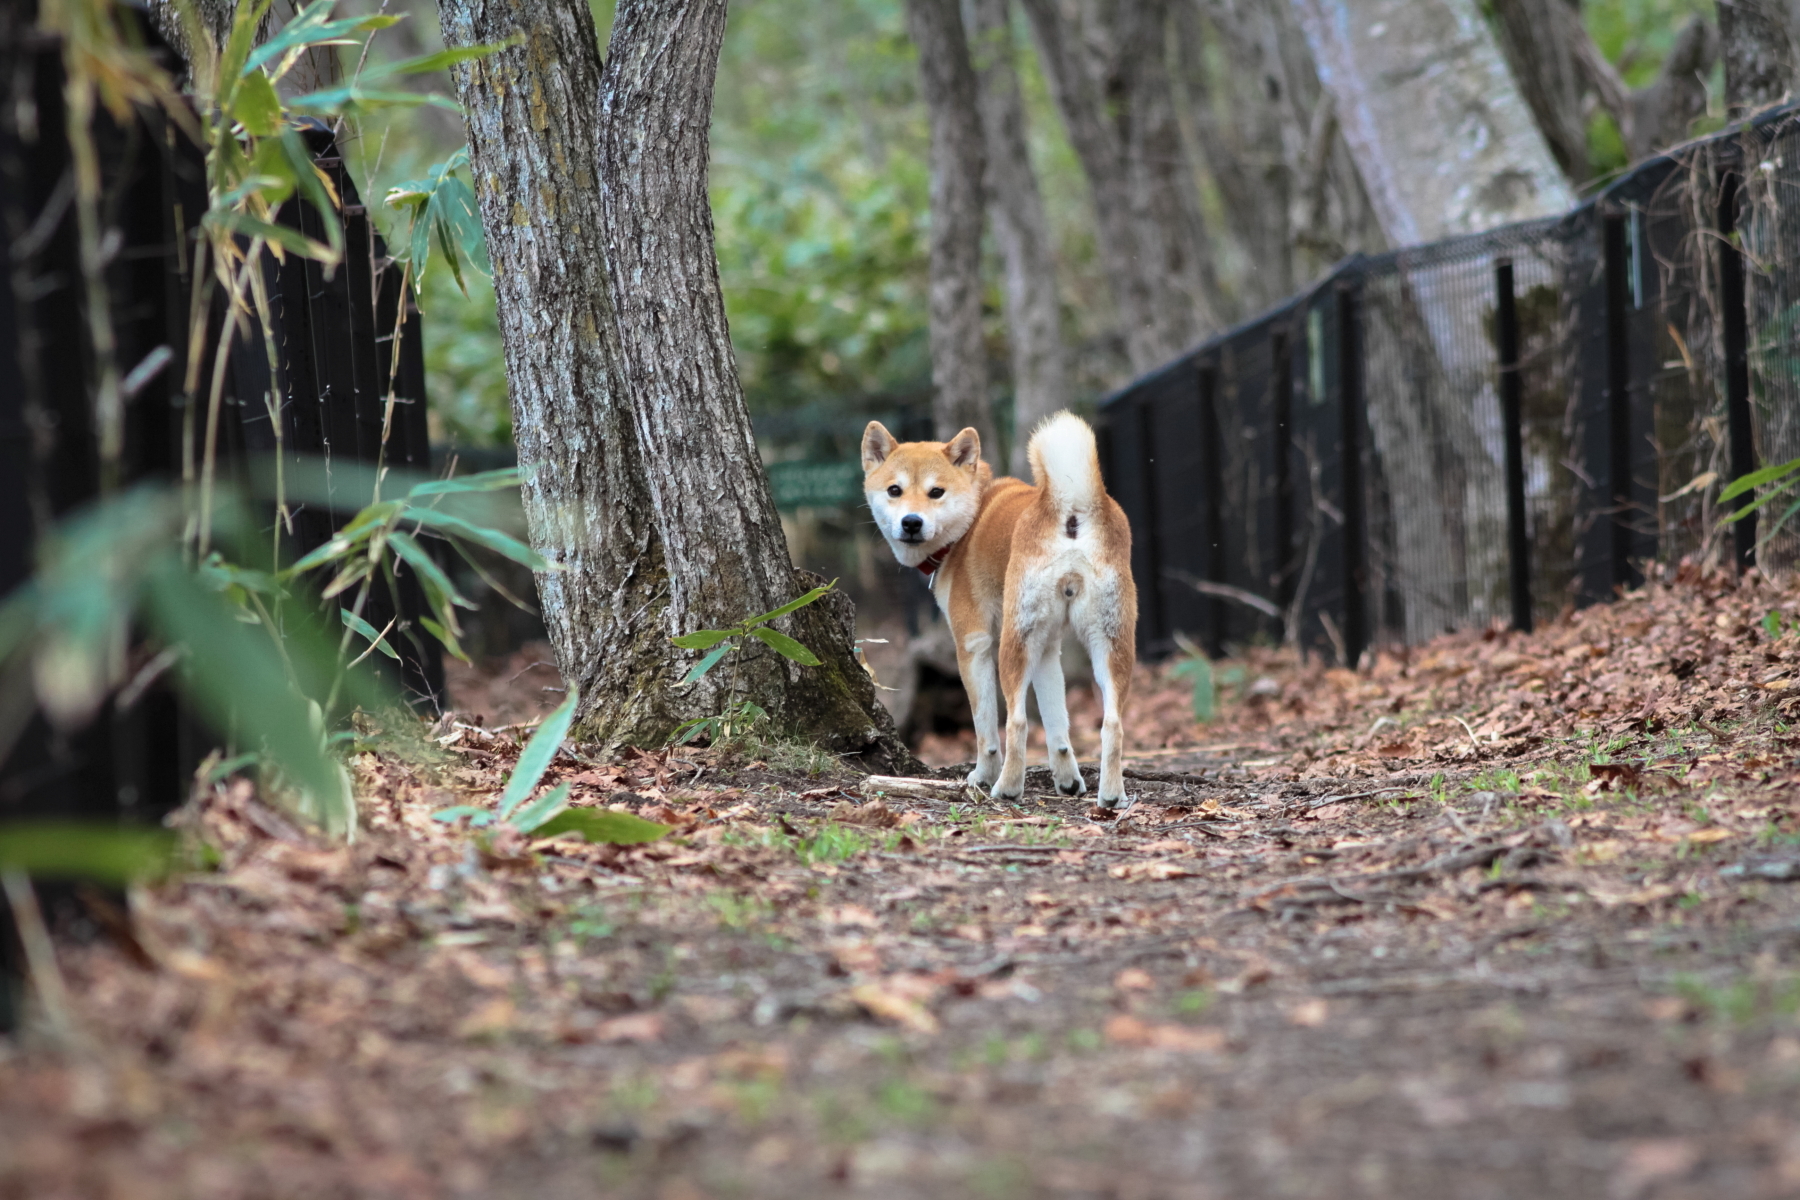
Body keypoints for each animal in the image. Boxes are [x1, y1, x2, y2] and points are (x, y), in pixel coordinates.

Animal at [860, 410, 1137, 805]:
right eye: (894, 490)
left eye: (936, 492)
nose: (911, 522)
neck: (970, 523)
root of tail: (1068, 509)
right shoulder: (1047, 648)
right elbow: (1058, 728)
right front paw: (1068, 780)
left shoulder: (972, 644)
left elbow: (985, 730)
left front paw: (982, 775)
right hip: (1107, 643)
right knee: (1112, 724)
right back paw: (1111, 796)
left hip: (1012, 645)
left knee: (1017, 722)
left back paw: (1006, 787)